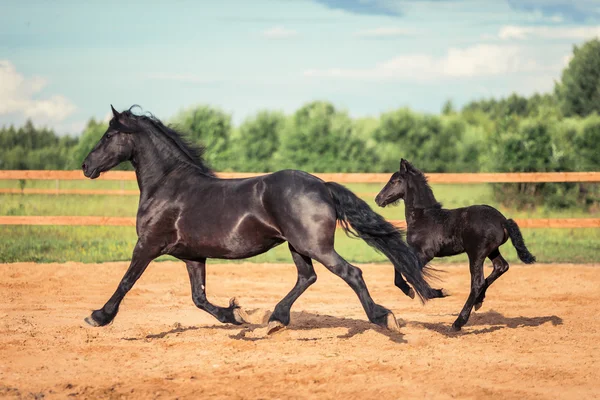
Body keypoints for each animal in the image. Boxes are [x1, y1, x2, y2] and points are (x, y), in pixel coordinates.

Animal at [81, 104, 436, 332]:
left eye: (108, 136)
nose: (86, 167)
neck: (169, 187)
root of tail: (322, 185)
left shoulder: (148, 245)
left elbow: (126, 281)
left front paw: (98, 316)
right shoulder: (193, 256)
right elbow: (199, 298)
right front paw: (236, 315)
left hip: (314, 246)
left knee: (351, 273)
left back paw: (383, 318)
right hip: (297, 246)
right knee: (307, 277)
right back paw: (275, 319)